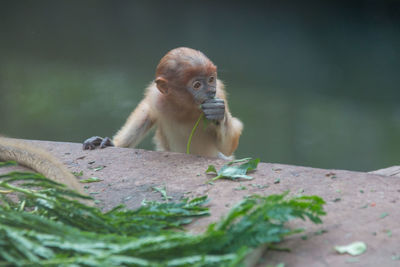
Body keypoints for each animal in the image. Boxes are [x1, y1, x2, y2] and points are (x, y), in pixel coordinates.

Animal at [83, 47, 242, 158]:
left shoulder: (219, 92)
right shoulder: (156, 96)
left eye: (211, 79)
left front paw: (218, 113)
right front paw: (111, 143)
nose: (210, 92)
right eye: (197, 85)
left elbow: (227, 149)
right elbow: (146, 112)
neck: (185, 108)